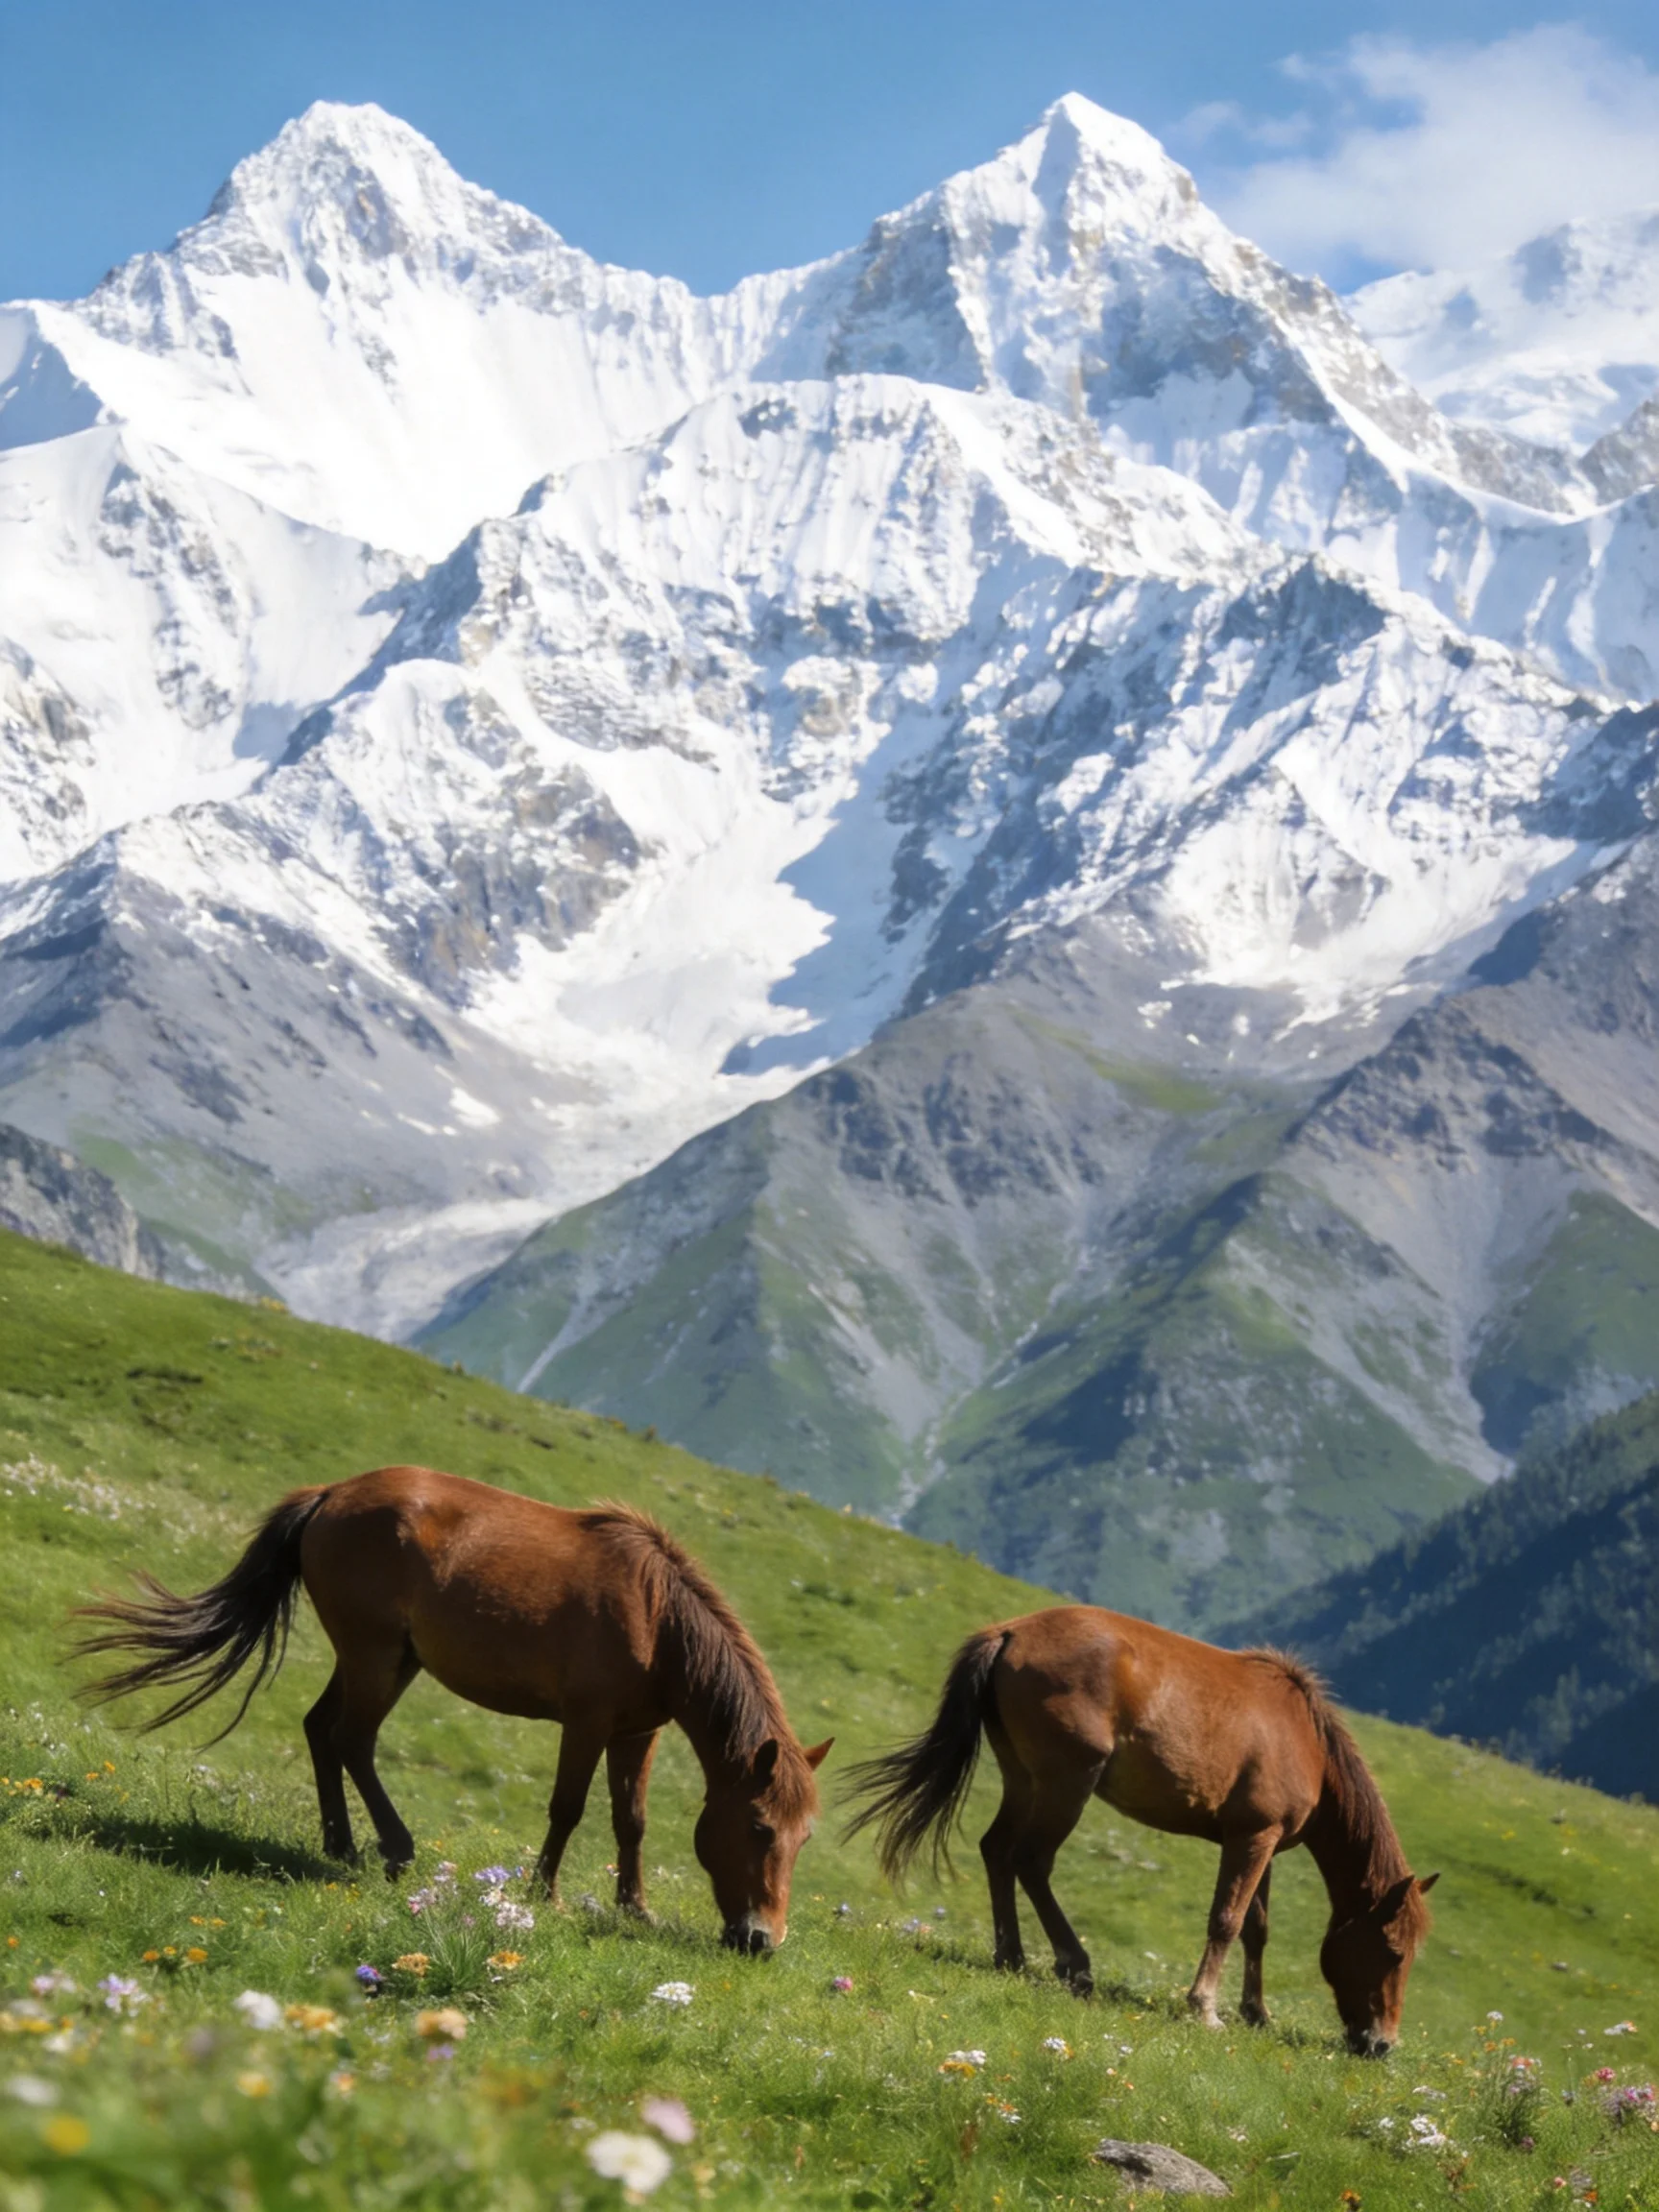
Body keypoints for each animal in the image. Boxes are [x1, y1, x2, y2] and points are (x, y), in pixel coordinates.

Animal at [74, 1466, 831, 1954]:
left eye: (805, 1839)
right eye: (760, 1828)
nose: (762, 1940)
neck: (657, 1618)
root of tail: (329, 1496)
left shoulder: (637, 1732)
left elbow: (632, 1822)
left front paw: (634, 1908)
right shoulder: (585, 1723)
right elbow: (568, 1809)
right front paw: (544, 1894)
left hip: (384, 1659)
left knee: (322, 1729)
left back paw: (342, 1843)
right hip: (376, 1655)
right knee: (351, 1739)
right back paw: (393, 1849)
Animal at [844, 1606, 1436, 2054]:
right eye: (1393, 1952)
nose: (1381, 2045)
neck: (1305, 1740)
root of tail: (1011, 1631)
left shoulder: (1261, 1844)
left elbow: (1255, 1928)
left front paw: (1256, 2012)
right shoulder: (1252, 1838)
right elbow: (1226, 1920)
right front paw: (1204, 2008)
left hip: (1023, 1777)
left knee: (997, 1850)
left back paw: (1011, 1957)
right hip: (1067, 1782)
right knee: (1031, 1860)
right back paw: (1075, 1966)